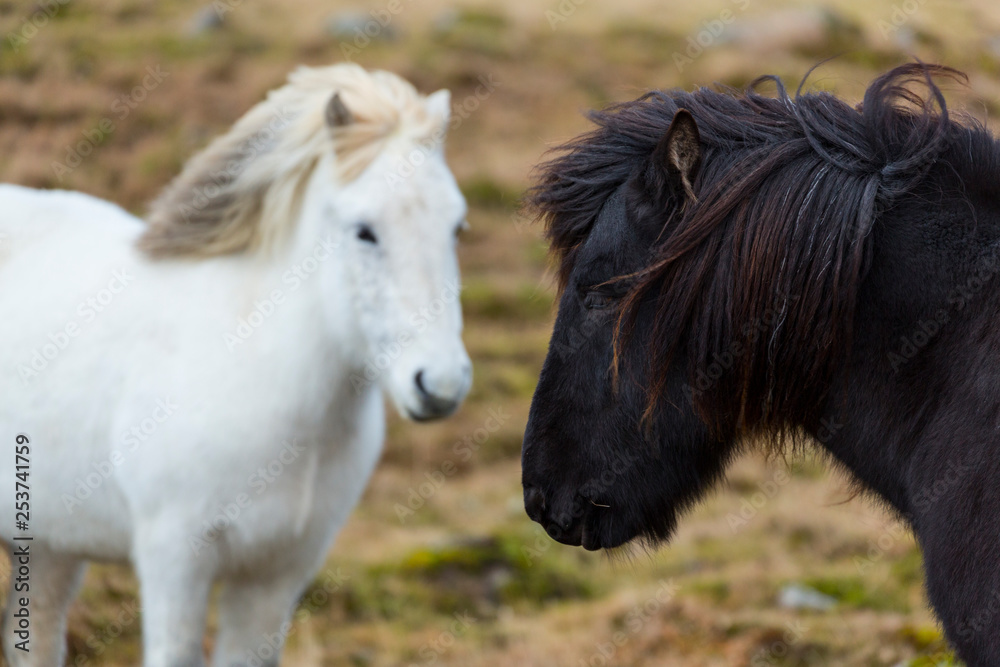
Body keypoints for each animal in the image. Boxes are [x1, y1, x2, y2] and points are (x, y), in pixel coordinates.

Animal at [0, 63, 472, 667]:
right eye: (364, 230)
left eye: (455, 227)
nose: (440, 384)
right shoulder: (173, 559)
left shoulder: (277, 575)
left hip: (48, 546)